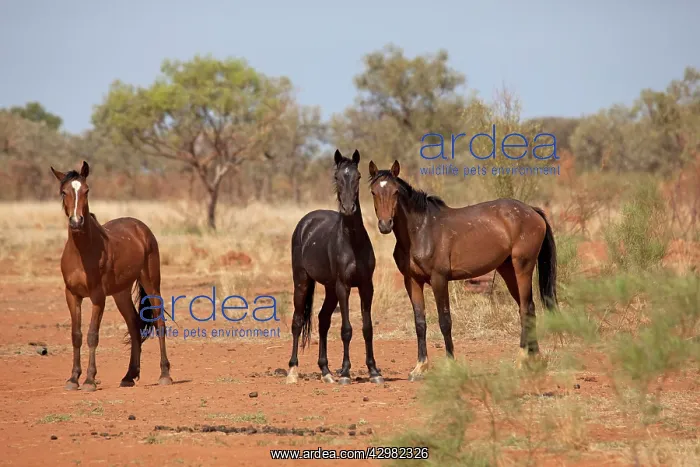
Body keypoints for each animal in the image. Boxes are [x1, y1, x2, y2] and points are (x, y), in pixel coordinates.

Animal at [50, 161, 172, 391]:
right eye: (63, 192)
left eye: (86, 190)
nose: (77, 222)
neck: (82, 252)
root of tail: (140, 228)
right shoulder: (72, 295)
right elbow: (76, 335)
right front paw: (73, 379)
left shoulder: (98, 297)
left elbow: (92, 335)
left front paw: (89, 380)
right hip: (120, 293)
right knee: (134, 325)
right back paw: (129, 376)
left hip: (151, 283)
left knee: (159, 322)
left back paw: (165, 375)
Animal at [286, 149, 383, 385]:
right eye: (338, 177)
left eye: (358, 177)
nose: (348, 208)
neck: (352, 242)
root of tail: (305, 223)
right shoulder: (344, 286)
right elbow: (346, 329)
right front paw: (346, 372)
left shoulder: (366, 286)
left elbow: (367, 328)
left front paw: (374, 371)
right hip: (302, 282)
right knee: (297, 321)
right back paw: (293, 371)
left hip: (330, 288)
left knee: (323, 320)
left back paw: (326, 371)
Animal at [367, 159, 557, 381]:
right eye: (373, 192)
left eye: (396, 192)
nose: (385, 225)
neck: (421, 231)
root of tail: (532, 211)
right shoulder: (412, 281)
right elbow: (420, 322)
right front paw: (420, 367)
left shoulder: (439, 280)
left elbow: (445, 321)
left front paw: (450, 365)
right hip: (508, 270)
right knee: (528, 309)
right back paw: (535, 360)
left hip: (523, 267)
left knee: (526, 308)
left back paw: (521, 361)